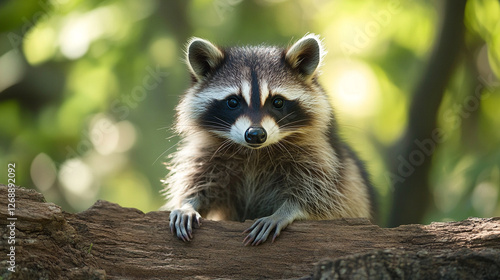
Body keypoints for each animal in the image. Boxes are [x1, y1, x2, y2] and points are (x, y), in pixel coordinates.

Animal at [162, 34, 376, 246]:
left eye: (278, 102)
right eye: (233, 102)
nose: (255, 134)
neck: (254, 152)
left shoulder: (318, 155)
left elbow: (321, 192)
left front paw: (286, 211)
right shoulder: (209, 154)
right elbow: (200, 182)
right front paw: (188, 204)